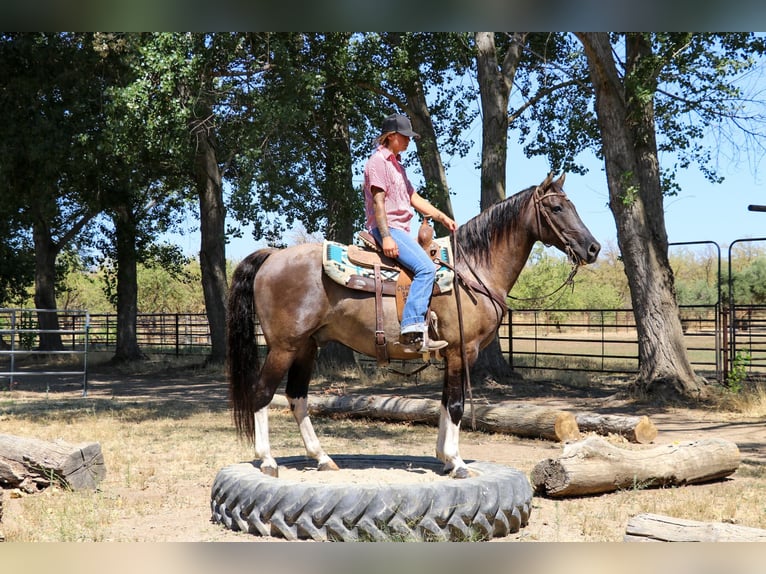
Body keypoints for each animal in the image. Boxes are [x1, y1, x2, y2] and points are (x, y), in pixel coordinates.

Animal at [225, 173, 604, 480]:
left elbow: (445, 403)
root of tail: (273, 256)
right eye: (556, 207)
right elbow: (456, 405)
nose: (593, 248)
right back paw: (268, 461)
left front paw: (445, 459)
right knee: (262, 393)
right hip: (284, 346)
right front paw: (458, 463)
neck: (473, 268)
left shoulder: (451, 353)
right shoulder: (461, 351)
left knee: (296, 397)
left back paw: (322, 458)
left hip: (307, 346)